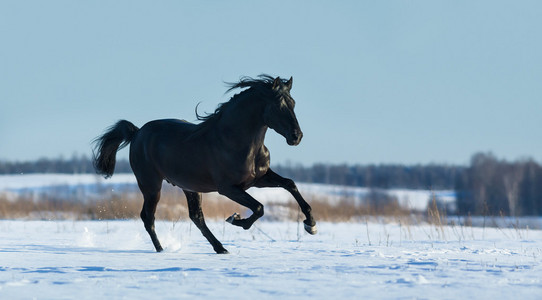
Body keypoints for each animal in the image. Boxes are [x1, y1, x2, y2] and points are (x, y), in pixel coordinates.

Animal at [92, 75, 316, 253]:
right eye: (278, 105)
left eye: (293, 103)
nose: (296, 137)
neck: (235, 141)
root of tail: (137, 132)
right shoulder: (228, 188)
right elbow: (259, 207)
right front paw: (236, 219)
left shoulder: (258, 179)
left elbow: (290, 184)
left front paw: (311, 224)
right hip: (151, 186)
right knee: (148, 217)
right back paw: (162, 250)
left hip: (190, 187)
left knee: (196, 217)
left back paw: (220, 248)